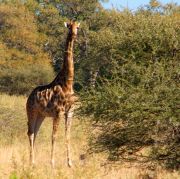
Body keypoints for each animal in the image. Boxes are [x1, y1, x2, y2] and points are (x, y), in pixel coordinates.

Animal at [26, 21, 80, 168]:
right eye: (69, 26)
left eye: (77, 27)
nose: (73, 34)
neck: (68, 83)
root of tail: (29, 96)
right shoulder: (58, 111)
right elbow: (54, 136)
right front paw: (52, 162)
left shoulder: (70, 112)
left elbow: (68, 136)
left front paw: (70, 163)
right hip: (31, 112)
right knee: (30, 133)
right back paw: (31, 163)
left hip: (41, 115)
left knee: (35, 132)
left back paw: (33, 161)